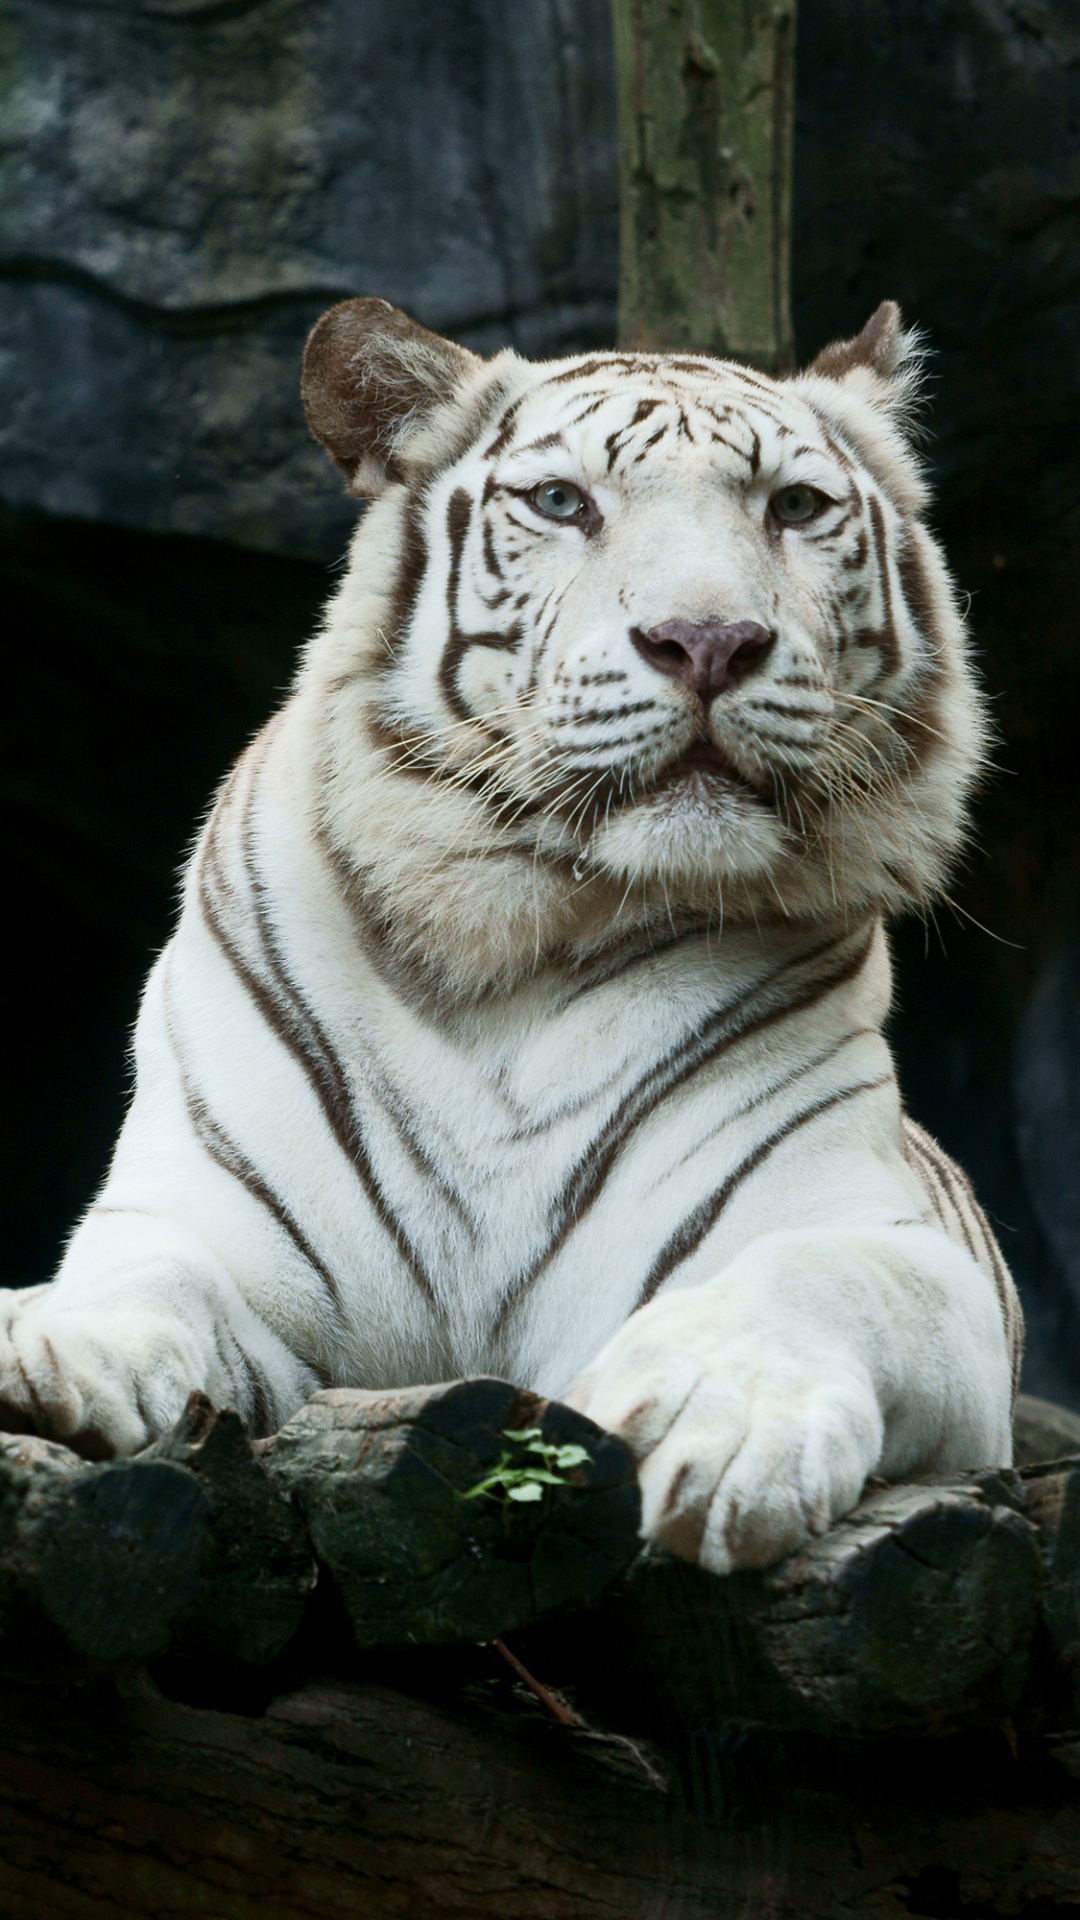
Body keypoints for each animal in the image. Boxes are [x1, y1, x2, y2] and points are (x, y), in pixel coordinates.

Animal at [0, 295, 1021, 1576]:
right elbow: (144, 1278)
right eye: (562, 503)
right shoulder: (212, 1221)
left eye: (794, 507)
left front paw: (716, 1420)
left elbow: (817, 1276)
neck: (519, 949)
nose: (707, 641)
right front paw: (54, 1349)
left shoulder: (882, 1233)